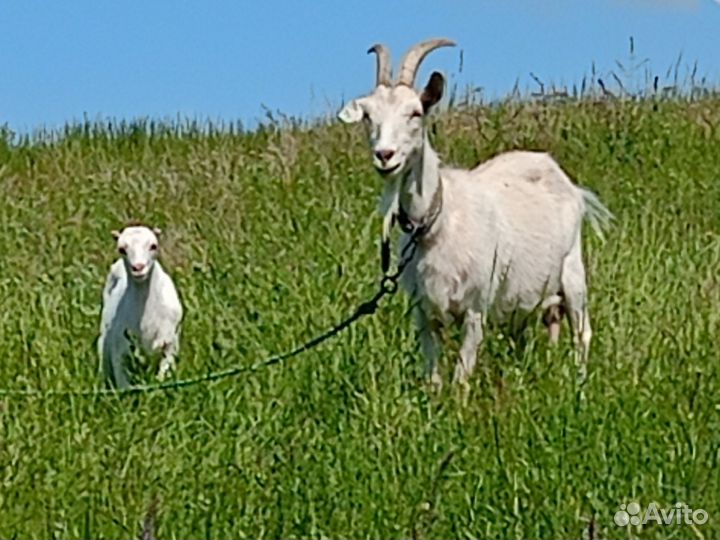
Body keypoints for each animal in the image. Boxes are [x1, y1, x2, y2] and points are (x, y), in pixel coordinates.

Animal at [98, 225, 183, 388]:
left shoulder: (169, 343)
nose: (138, 267)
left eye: (153, 246)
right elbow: (124, 386)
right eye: (121, 249)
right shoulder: (120, 351)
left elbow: (162, 376)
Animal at [338, 38, 612, 387]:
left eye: (415, 112)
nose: (384, 155)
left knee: (581, 331)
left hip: (572, 270)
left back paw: (578, 383)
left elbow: (461, 376)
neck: (436, 224)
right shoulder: (424, 314)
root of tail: (566, 180)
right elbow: (434, 376)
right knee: (545, 322)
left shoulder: (475, 308)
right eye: (368, 116)